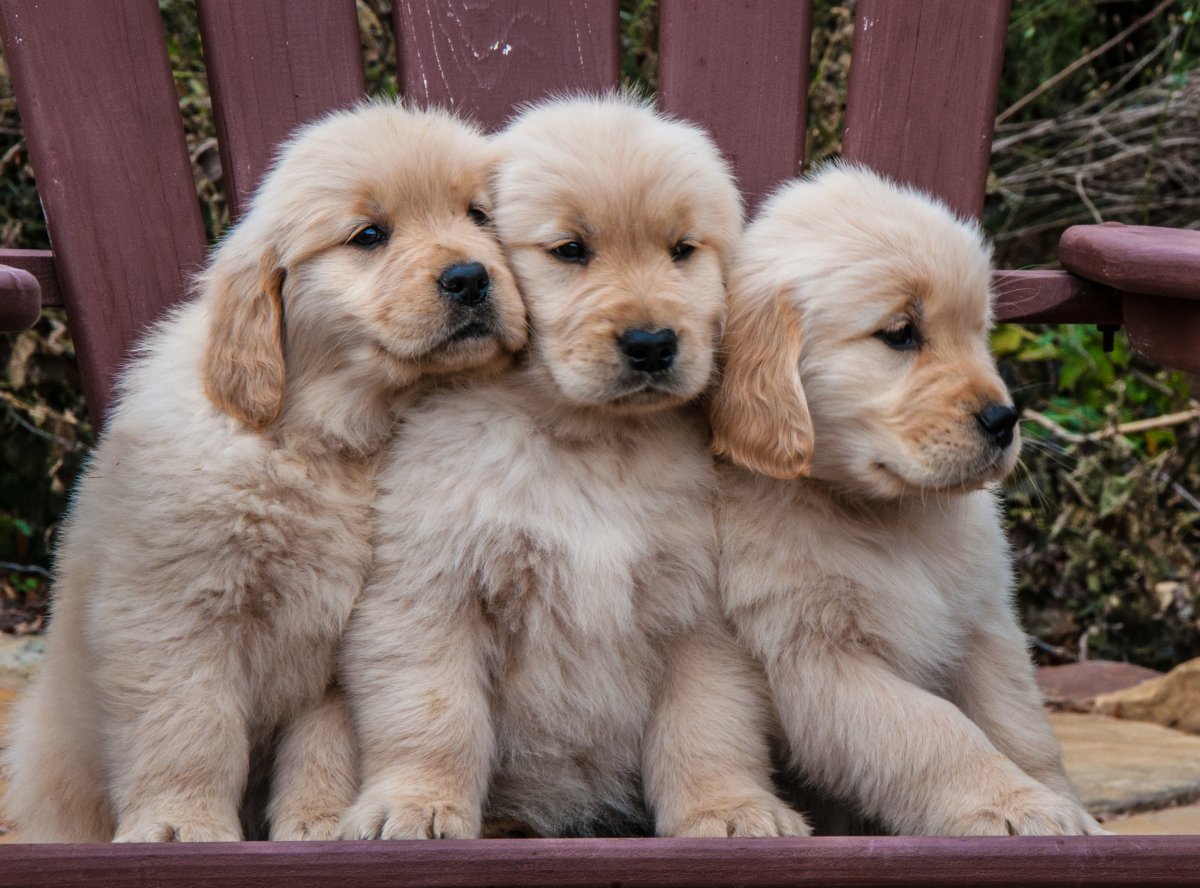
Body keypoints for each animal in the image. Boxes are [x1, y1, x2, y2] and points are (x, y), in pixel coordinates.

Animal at [4, 100, 523, 844]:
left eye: (479, 215)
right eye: (370, 235)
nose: (471, 278)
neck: (321, 441)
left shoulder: (337, 641)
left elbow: (324, 744)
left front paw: (318, 824)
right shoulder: (175, 614)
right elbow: (189, 727)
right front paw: (180, 823)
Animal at [336, 97, 806, 840]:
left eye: (682, 250)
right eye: (570, 250)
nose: (652, 343)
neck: (585, 441)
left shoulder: (702, 609)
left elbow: (709, 723)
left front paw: (728, 809)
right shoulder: (432, 585)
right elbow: (432, 710)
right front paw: (416, 803)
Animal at [700, 166, 1104, 840]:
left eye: (979, 331)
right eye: (900, 334)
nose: (1004, 420)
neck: (886, 516)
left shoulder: (982, 624)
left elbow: (1021, 726)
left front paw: (1068, 807)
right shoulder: (812, 657)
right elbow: (936, 732)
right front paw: (1015, 805)